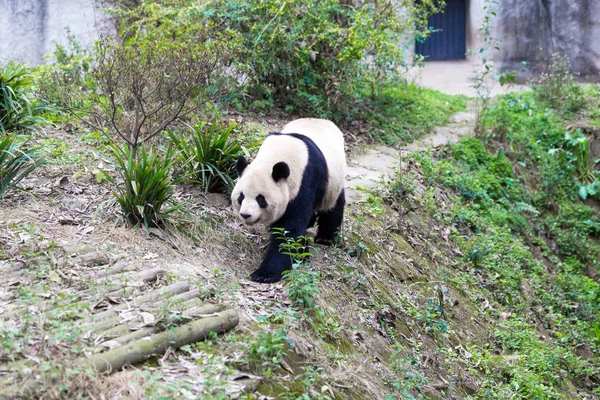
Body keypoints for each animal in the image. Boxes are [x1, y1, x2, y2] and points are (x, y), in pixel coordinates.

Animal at [232, 117, 350, 282]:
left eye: (261, 199)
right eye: (241, 197)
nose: (246, 215)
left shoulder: (305, 181)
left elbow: (289, 229)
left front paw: (265, 274)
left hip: (333, 183)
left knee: (333, 208)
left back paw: (325, 238)